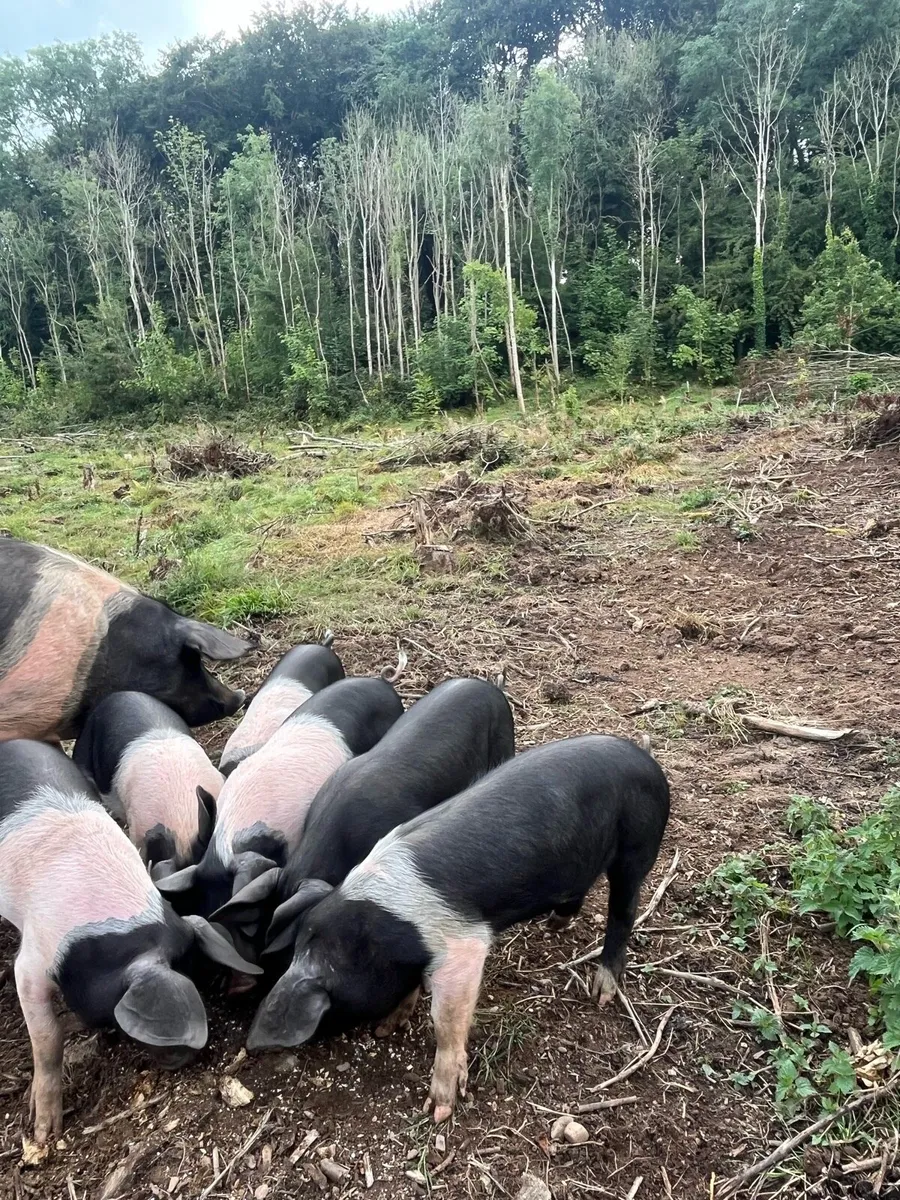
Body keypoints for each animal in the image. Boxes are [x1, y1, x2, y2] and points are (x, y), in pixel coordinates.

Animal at [246, 734, 670, 1122]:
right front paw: (388, 1027)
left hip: (638, 847)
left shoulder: (463, 943)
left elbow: (446, 1019)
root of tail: (646, 760)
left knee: (624, 911)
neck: (378, 931)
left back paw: (602, 991)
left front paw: (438, 1108)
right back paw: (555, 923)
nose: (260, 1048)